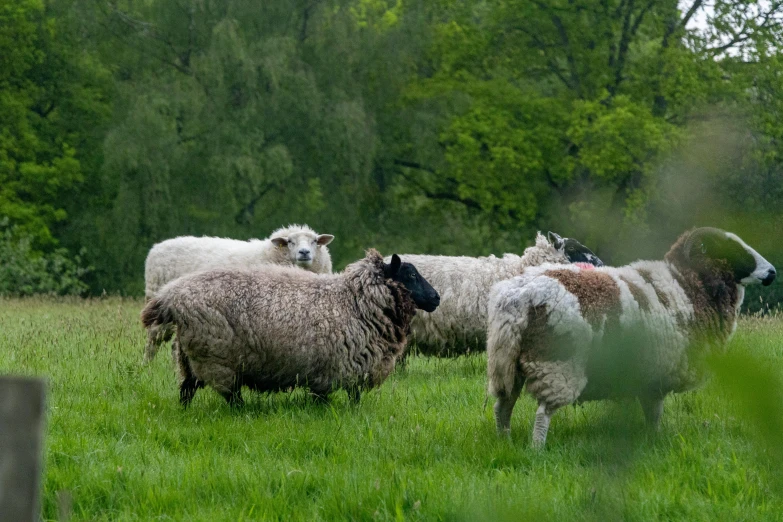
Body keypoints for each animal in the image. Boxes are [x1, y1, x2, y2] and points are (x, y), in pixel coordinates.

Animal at [141, 249, 440, 406]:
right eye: (411, 275)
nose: (436, 298)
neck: (355, 301)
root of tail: (171, 295)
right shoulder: (347, 365)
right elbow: (349, 399)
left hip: (189, 356)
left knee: (186, 390)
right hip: (217, 357)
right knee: (230, 396)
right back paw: (243, 413)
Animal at [486, 225, 776, 444]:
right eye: (730, 248)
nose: (772, 272)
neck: (688, 287)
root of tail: (519, 297)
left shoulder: (646, 375)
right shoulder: (658, 374)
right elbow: (654, 413)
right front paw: (655, 439)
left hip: (508, 362)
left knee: (503, 406)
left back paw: (504, 441)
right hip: (557, 365)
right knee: (542, 414)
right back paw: (537, 448)